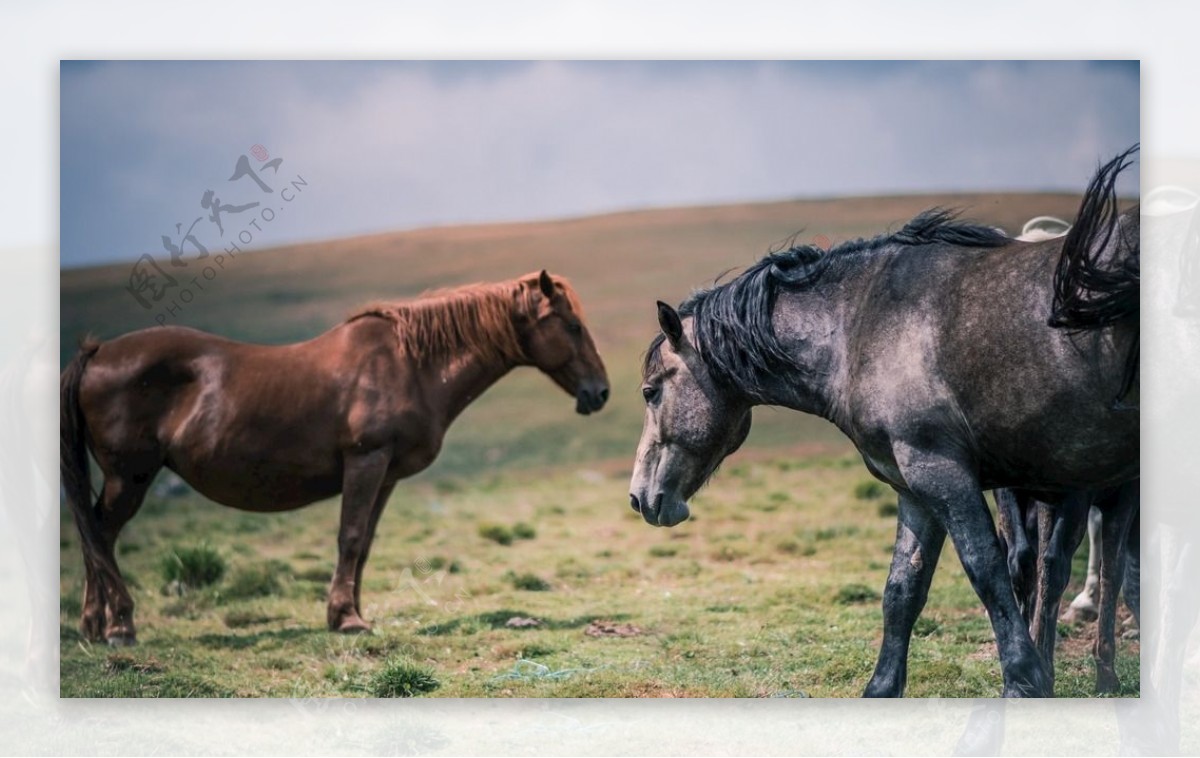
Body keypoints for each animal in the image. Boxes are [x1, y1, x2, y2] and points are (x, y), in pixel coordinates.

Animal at [59, 269, 604, 642]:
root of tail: (99, 352)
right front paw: (346, 618)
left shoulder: (385, 475)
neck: (410, 364)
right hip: (130, 477)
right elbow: (351, 536)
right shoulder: (366, 462)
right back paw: (119, 626)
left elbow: (364, 544)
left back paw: (93, 625)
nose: (600, 392)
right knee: (101, 535)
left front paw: (353, 612)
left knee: (95, 533)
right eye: (572, 326)